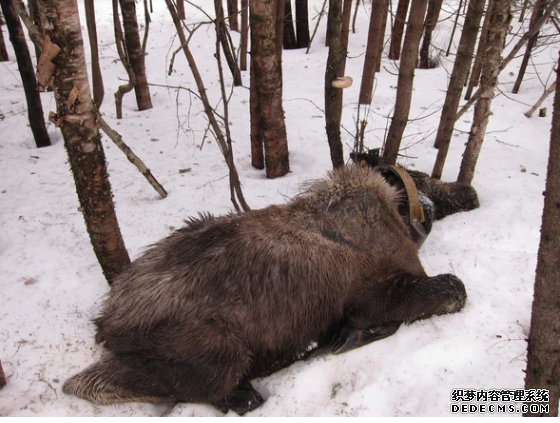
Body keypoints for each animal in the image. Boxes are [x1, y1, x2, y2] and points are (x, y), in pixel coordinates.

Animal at [63, 165, 480, 414]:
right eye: (423, 176)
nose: (470, 193)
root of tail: (106, 323)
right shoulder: (377, 295)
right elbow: (454, 289)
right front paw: (338, 340)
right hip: (223, 351)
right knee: (84, 383)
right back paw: (246, 392)